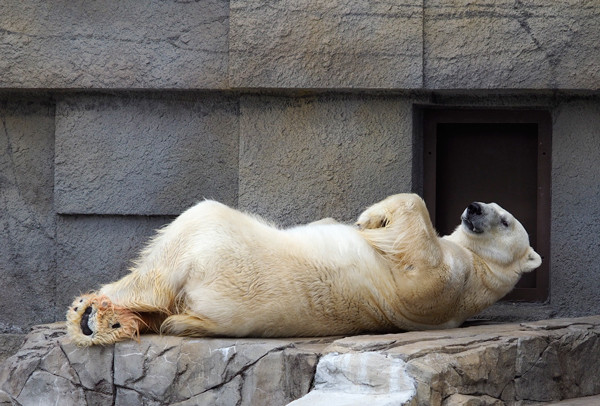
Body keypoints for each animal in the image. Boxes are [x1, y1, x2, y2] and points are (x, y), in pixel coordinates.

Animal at [67, 193, 544, 346]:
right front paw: (353, 221)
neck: (480, 269)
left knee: (183, 238)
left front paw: (370, 218)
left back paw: (97, 310)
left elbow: (416, 254)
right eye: (490, 203)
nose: (474, 207)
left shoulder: (444, 284)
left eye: (505, 220)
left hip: (223, 251)